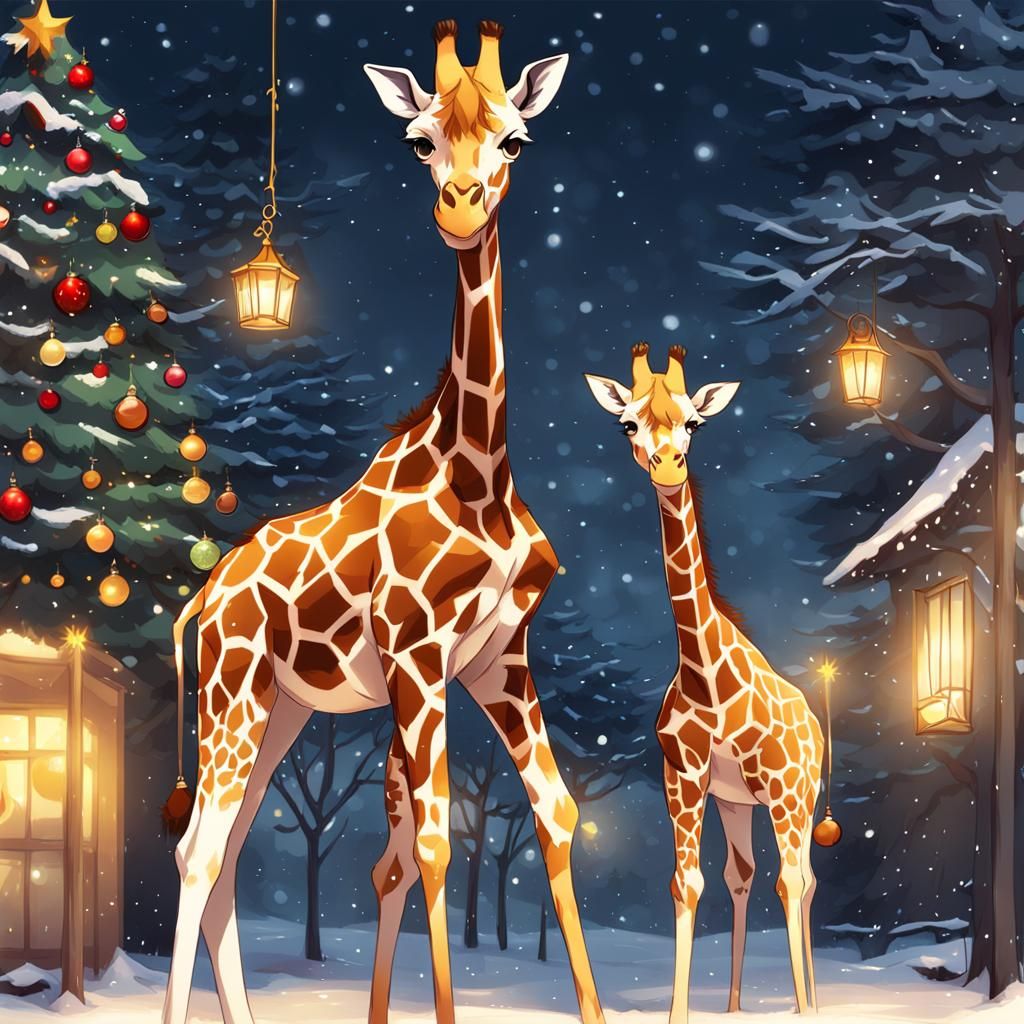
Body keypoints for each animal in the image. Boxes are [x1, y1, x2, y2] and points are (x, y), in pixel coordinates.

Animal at [159, 20, 605, 1024]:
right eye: (419, 141)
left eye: (516, 139)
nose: (461, 209)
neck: (480, 471)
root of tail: (206, 596)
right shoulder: (416, 655)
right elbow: (430, 845)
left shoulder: (498, 656)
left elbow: (556, 818)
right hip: (233, 694)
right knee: (197, 850)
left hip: (282, 707)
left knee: (228, 855)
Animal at [585, 343, 824, 1023]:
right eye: (628, 424)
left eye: (694, 422)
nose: (667, 467)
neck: (705, 673)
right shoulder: (684, 778)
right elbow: (689, 883)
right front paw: (684, 1013)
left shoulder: (780, 789)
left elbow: (789, 882)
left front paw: (802, 1008)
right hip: (739, 803)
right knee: (744, 875)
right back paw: (738, 1005)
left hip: (799, 797)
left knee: (801, 878)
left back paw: (812, 1001)